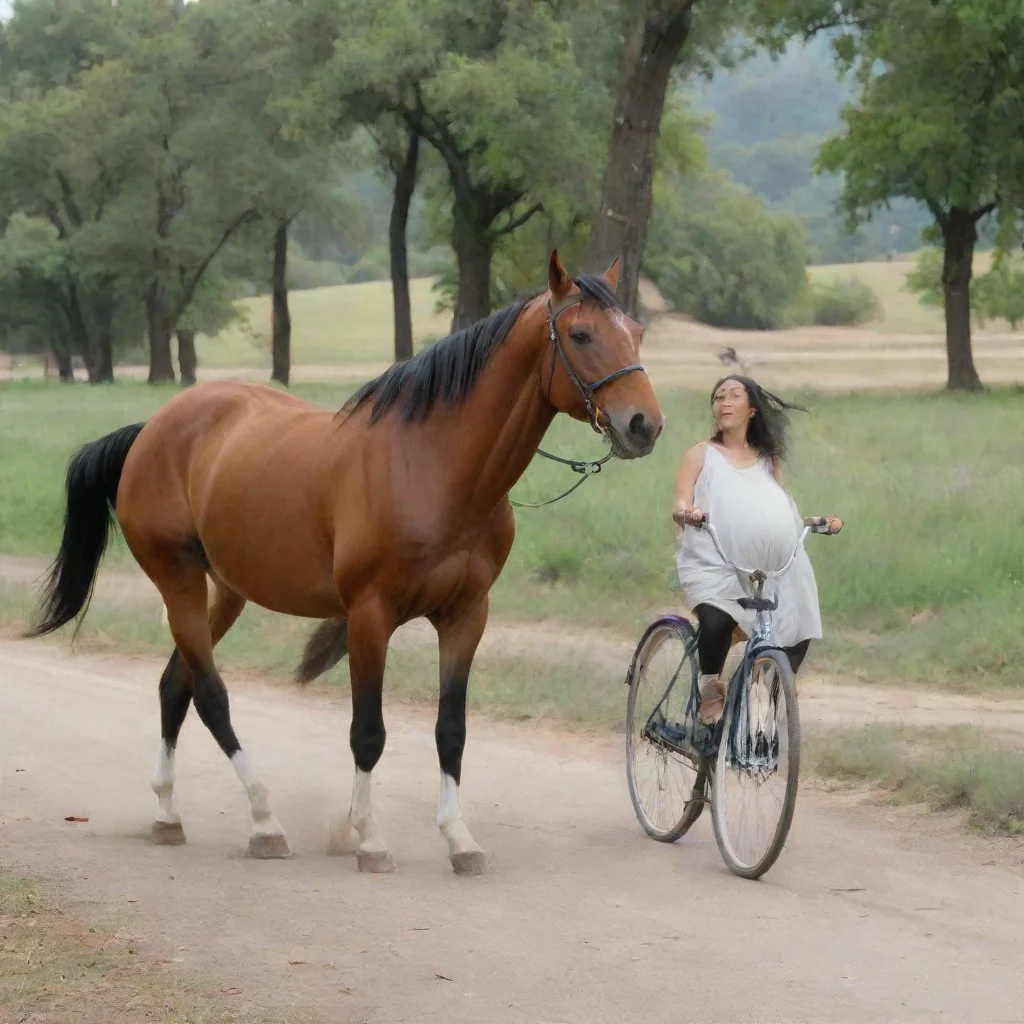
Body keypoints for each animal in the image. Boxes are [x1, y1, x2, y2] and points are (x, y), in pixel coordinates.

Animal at [25, 251, 663, 876]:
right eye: (580, 334)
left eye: (635, 331)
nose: (645, 426)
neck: (432, 466)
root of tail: (151, 431)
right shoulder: (369, 616)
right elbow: (368, 732)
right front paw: (370, 839)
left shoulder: (466, 617)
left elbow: (451, 731)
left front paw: (460, 839)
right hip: (178, 582)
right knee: (209, 697)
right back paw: (265, 822)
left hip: (226, 591)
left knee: (173, 686)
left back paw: (167, 814)